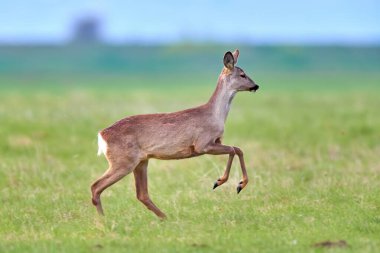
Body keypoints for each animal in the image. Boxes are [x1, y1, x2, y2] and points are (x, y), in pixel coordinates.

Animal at [90, 49, 260, 217]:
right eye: (242, 74)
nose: (256, 86)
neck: (214, 115)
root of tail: (101, 135)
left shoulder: (216, 141)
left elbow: (238, 149)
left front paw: (238, 184)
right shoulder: (202, 144)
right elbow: (233, 149)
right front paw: (222, 182)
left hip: (141, 161)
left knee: (141, 194)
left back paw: (165, 218)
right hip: (123, 161)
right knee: (96, 186)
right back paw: (103, 220)